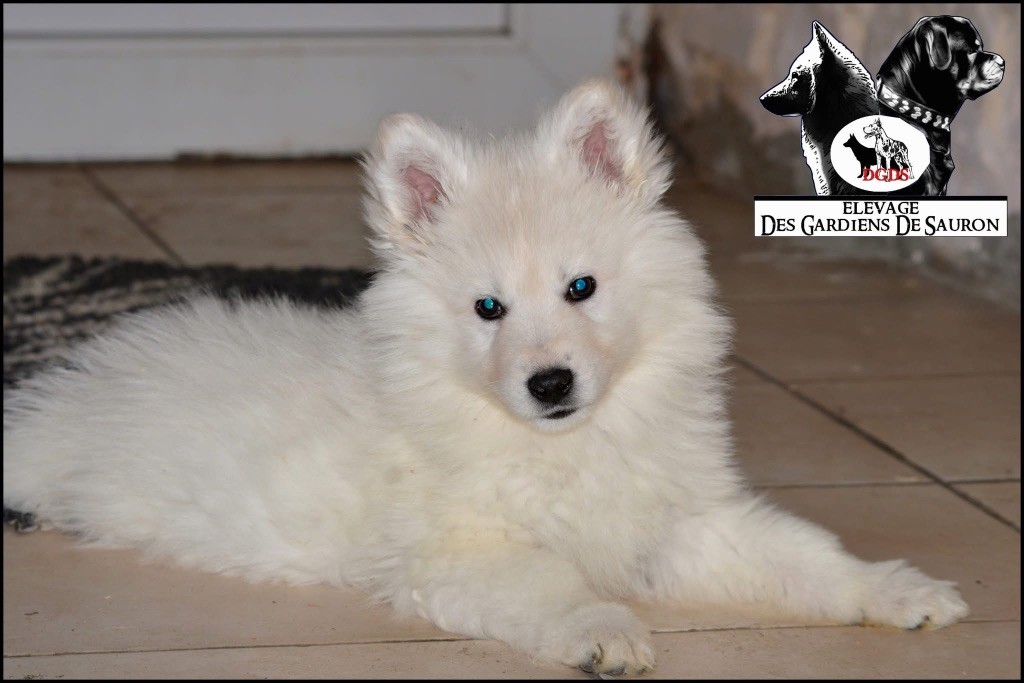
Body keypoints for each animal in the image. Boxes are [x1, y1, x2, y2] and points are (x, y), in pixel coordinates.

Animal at [4, 80, 968, 677]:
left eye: (581, 287)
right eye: (488, 308)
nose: (550, 383)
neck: (563, 447)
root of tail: (74, 377)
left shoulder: (680, 523)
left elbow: (802, 554)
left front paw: (895, 589)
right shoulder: (465, 550)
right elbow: (555, 586)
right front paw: (605, 631)